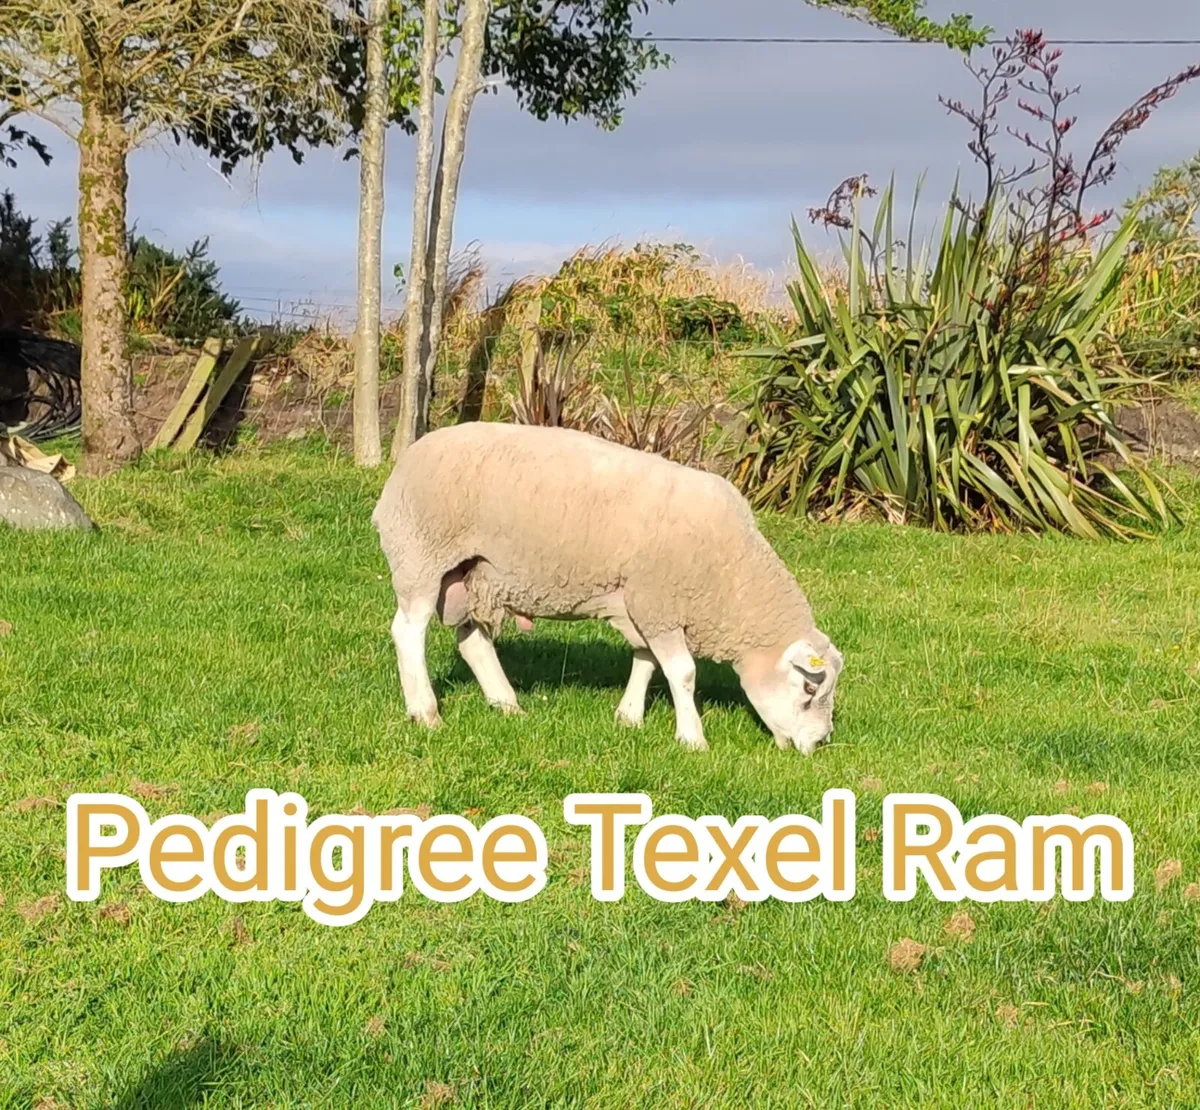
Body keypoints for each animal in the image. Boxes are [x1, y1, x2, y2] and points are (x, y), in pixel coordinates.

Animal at [371, 422, 844, 753]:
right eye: (809, 689)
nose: (819, 743)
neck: (732, 577)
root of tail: (405, 462)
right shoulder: (658, 600)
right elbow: (683, 672)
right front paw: (692, 738)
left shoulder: (640, 602)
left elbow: (645, 660)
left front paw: (629, 717)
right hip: (422, 557)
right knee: (408, 632)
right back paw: (425, 712)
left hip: (472, 575)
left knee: (472, 641)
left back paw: (507, 704)